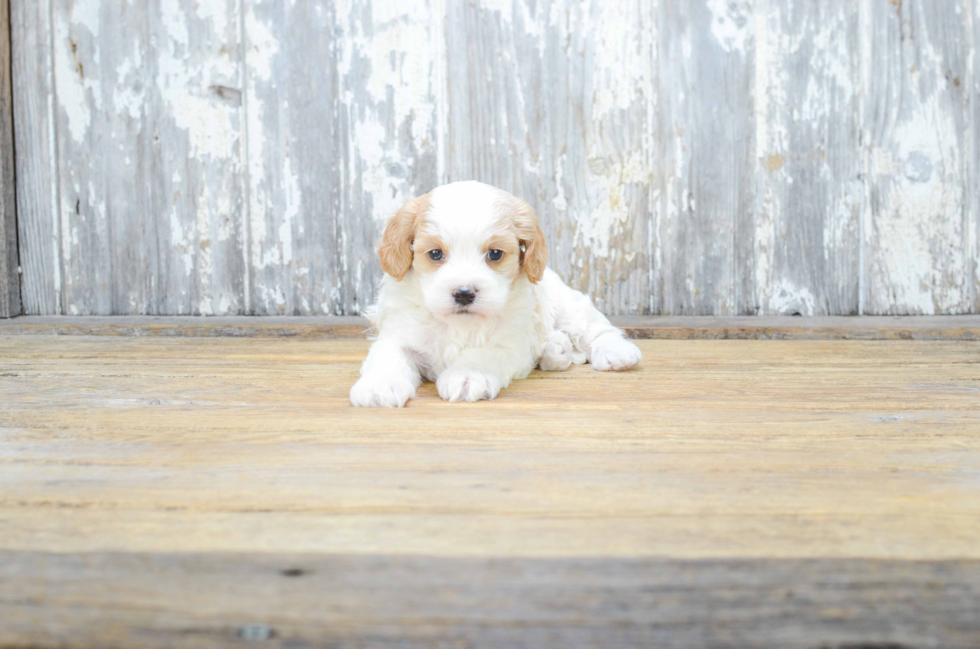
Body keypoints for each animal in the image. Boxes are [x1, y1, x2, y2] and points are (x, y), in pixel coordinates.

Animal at [352, 180, 644, 408]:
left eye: (495, 254)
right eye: (435, 253)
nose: (464, 293)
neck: (459, 323)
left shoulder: (510, 343)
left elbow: (482, 354)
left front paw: (468, 375)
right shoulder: (399, 334)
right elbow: (388, 355)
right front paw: (379, 386)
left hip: (566, 304)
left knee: (592, 327)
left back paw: (615, 352)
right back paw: (555, 348)